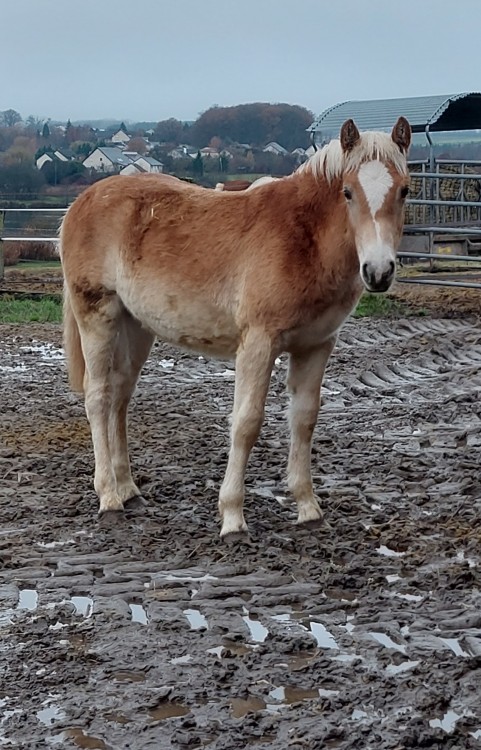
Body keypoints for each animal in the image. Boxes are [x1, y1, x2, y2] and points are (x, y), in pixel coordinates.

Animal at [60, 116, 411, 538]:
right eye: (347, 192)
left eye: (405, 190)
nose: (378, 272)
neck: (303, 238)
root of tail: (81, 202)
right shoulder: (259, 342)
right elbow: (246, 423)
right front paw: (232, 517)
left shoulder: (316, 345)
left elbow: (304, 419)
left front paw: (308, 508)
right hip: (98, 316)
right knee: (98, 398)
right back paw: (109, 498)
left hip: (136, 327)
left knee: (119, 398)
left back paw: (129, 490)